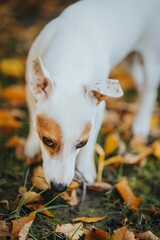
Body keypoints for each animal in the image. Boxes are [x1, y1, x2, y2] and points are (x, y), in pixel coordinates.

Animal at [24, 0, 160, 191]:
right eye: (47, 141)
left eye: (82, 143)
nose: (59, 188)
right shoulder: (30, 92)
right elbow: (32, 115)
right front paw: (31, 145)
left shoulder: (98, 112)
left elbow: (92, 141)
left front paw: (86, 169)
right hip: (128, 62)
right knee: (141, 85)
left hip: (151, 60)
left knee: (149, 90)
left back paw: (141, 123)